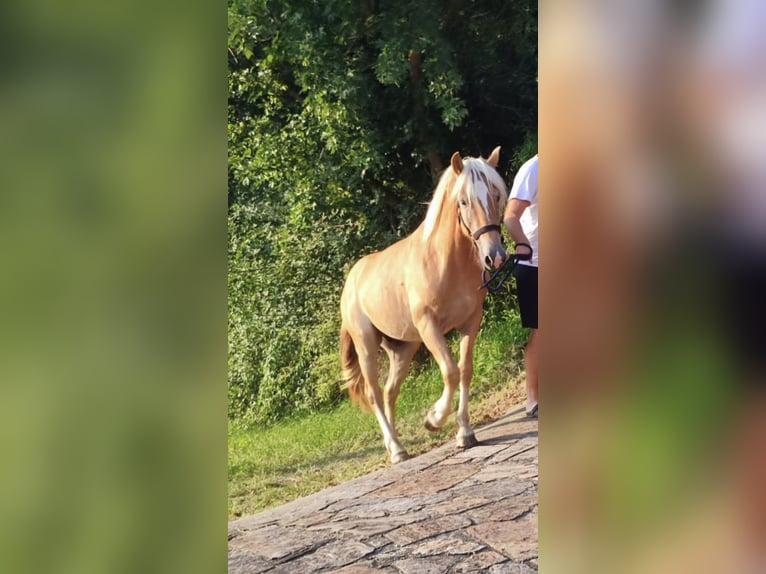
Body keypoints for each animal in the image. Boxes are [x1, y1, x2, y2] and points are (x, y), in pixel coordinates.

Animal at [340, 147, 510, 464]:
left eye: (496, 195)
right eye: (464, 201)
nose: (494, 256)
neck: (445, 261)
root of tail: (352, 279)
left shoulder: (470, 321)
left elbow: (465, 370)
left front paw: (465, 432)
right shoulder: (430, 327)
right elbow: (450, 371)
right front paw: (434, 419)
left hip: (402, 349)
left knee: (389, 391)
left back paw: (396, 444)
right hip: (366, 345)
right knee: (374, 394)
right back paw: (395, 450)